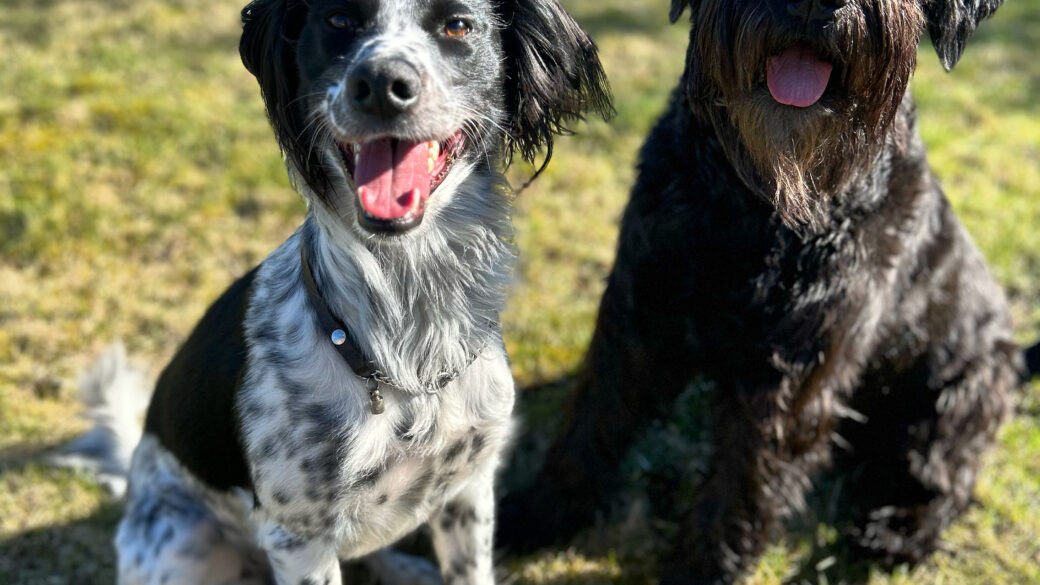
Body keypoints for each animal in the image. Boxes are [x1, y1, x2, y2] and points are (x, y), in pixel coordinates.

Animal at [75, 1, 607, 582]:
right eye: (337, 21)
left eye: (457, 25)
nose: (381, 85)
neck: (408, 341)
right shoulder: (297, 537)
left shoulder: (469, 488)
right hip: (183, 543)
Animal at [499, 0, 1035, 578]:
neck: (760, 204)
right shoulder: (639, 309)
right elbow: (595, 418)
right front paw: (536, 513)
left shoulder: (798, 367)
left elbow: (746, 478)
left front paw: (703, 569)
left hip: (959, 398)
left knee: (944, 483)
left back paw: (897, 533)